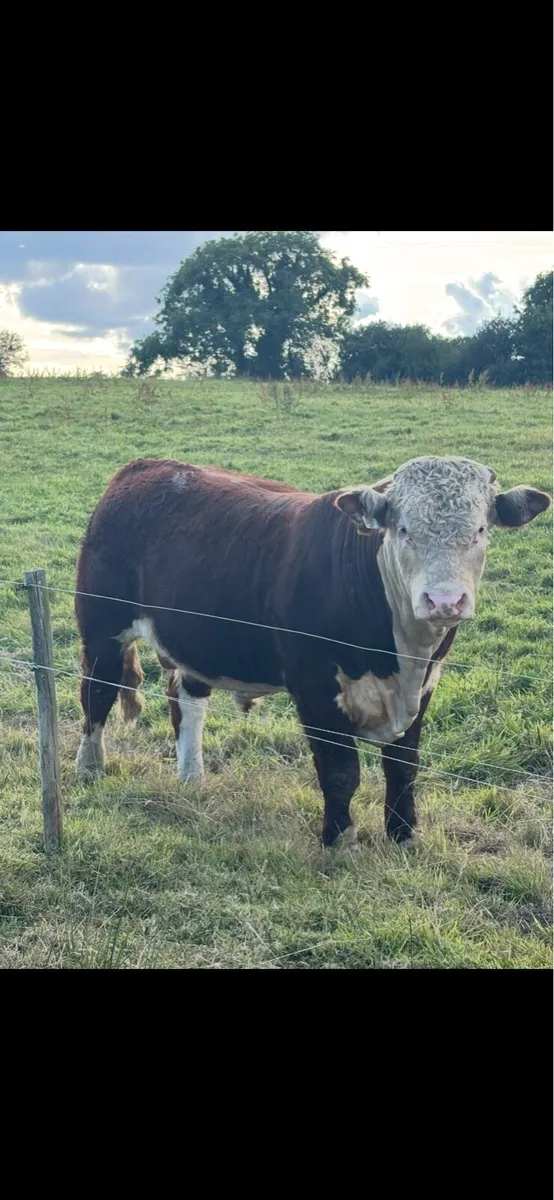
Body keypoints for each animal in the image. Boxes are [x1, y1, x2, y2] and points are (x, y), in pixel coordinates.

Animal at [74, 455, 550, 848]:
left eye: (480, 529)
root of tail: (145, 466)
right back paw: (89, 768)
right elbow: (340, 772)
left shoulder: (426, 684)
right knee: (96, 694)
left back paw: (191, 778)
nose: (445, 601)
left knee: (186, 704)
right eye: (403, 530)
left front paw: (404, 835)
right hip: (101, 628)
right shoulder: (316, 685)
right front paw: (339, 841)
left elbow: (403, 766)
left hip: (195, 639)